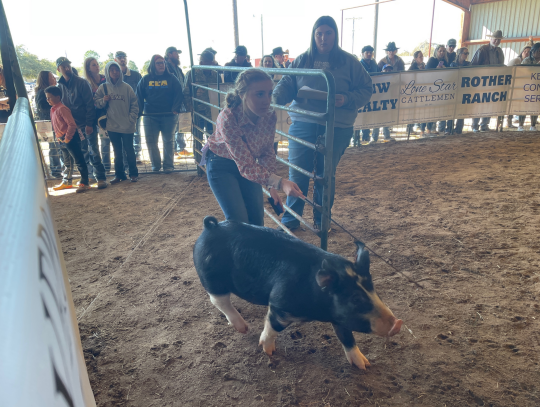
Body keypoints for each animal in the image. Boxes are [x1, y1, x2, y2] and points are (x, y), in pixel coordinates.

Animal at [191, 218, 400, 372]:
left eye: (373, 290)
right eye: (355, 298)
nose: (397, 323)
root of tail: (211, 227)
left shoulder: (340, 317)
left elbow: (347, 336)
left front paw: (364, 365)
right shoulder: (279, 305)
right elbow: (272, 327)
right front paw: (269, 352)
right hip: (211, 278)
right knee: (218, 300)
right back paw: (243, 328)